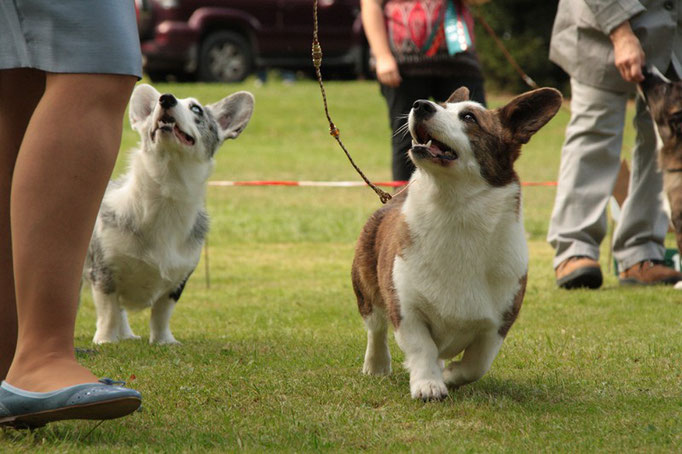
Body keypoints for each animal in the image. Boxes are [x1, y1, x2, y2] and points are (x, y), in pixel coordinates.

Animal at [83, 83, 254, 344]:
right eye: (155, 105)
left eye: (196, 109)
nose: (166, 99)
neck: (168, 191)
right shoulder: (103, 274)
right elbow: (108, 311)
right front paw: (105, 341)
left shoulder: (177, 281)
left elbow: (161, 313)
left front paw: (164, 341)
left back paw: (128, 335)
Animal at [350, 87, 556, 400]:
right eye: (441, 105)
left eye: (469, 117)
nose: (420, 105)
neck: (453, 206)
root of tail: (394, 197)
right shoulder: (406, 308)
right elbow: (422, 348)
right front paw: (428, 385)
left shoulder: (497, 323)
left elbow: (477, 363)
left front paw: (449, 376)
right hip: (365, 284)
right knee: (375, 328)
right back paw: (376, 365)